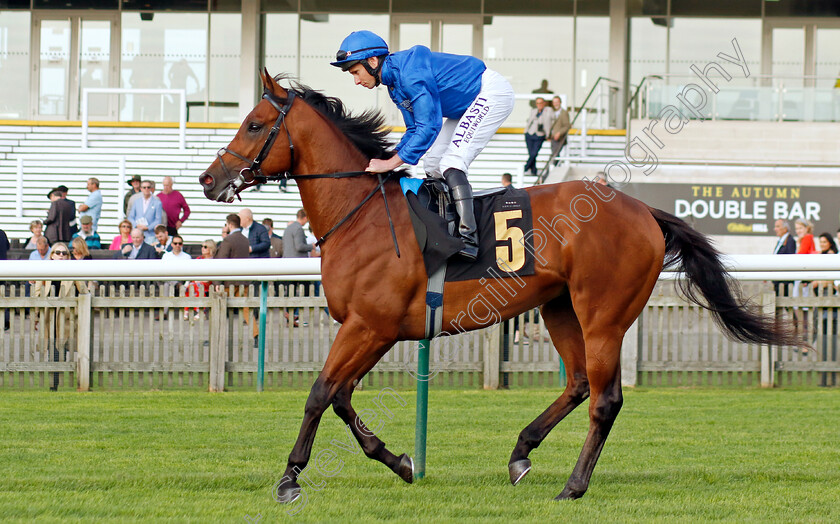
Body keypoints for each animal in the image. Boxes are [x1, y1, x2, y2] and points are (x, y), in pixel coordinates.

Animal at [199, 71, 800, 502]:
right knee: (578, 383)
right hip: (560, 307)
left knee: (605, 398)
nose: (208, 180)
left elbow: (320, 393)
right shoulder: (373, 328)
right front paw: (400, 461)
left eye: (254, 125)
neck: (361, 213)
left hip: (603, 313)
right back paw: (520, 453)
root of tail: (643, 210)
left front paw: (290, 478)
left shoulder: (370, 326)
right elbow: (343, 398)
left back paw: (572, 486)